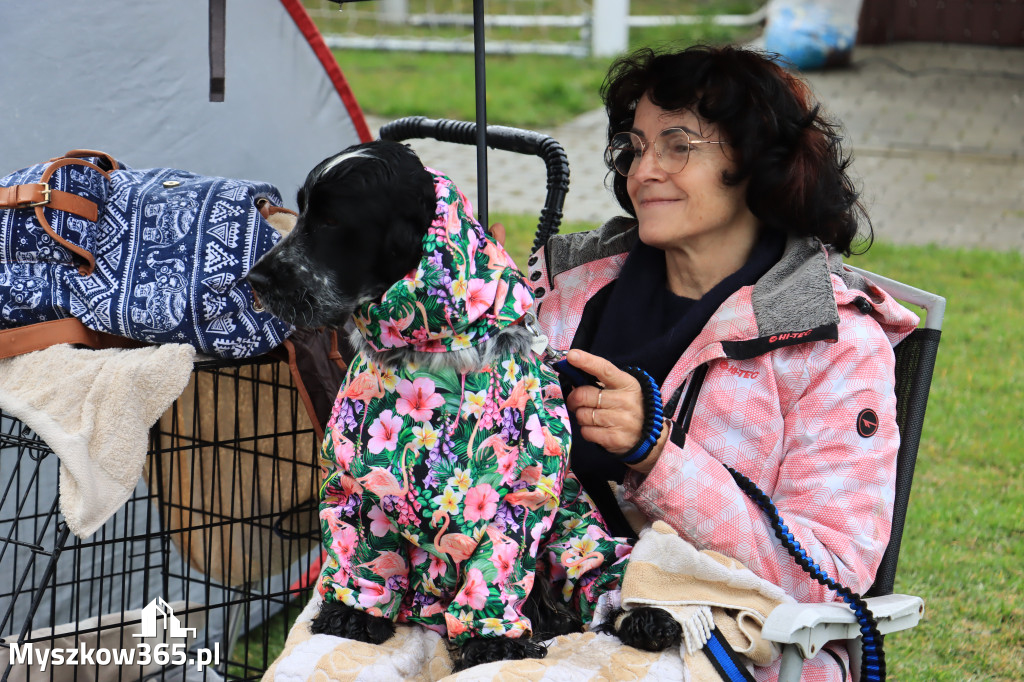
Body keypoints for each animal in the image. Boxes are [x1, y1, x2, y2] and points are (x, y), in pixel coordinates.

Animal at [248, 140, 630, 667]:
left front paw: (491, 643)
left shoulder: (518, 506)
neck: (432, 359)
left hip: (576, 524)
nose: (254, 279)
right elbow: (360, 556)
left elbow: (495, 576)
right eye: (302, 211)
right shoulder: (355, 488)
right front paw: (353, 617)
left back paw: (646, 620)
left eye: (330, 220)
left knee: (602, 575)